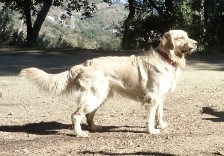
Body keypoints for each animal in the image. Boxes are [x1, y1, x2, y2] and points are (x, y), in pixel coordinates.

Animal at [20, 29, 197, 137]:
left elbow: (160, 113)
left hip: (100, 96)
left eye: (187, 36)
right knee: (76, 115)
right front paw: (152, 130)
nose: (196, 43)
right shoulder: (153, 98)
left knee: (89, 116)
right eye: (181, 37)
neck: (166, 58)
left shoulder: (161, 97)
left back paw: (94, 127)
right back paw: (80, 133)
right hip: (95, 96)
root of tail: (85, 64)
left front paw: (160, 125)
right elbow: (151, 117)